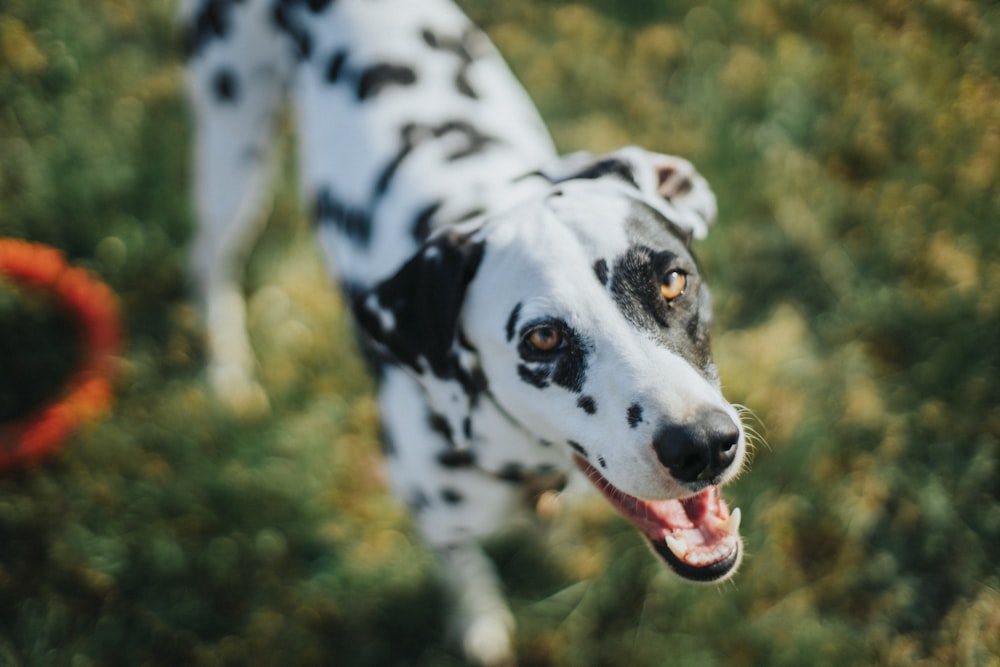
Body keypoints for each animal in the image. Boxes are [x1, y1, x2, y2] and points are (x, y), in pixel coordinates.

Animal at [180, 2, 748, 664]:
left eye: (673, 281)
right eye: (543, 340)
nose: (702, 445)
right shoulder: (436, 518)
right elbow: (463, 570)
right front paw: (480, 620)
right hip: (233, 154)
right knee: (210, 262)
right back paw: (226, 370)